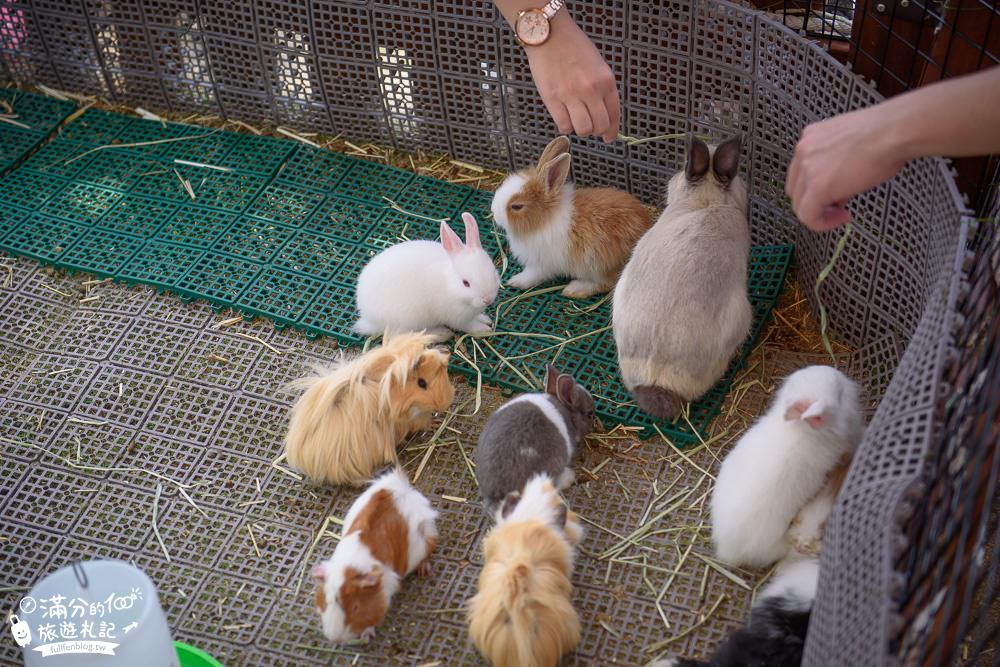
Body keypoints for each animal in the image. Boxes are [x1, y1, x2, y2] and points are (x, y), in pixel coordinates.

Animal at [356, 213, 504, 342]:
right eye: (465, 283)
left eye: (494, 273)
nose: (487, 299)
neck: (450, 286)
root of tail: (368, 318)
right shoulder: (457, 318)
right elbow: (468, 326)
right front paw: (483, 329)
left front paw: (485, 319)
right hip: (408, 319)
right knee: (398, 336)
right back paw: (441, 334)